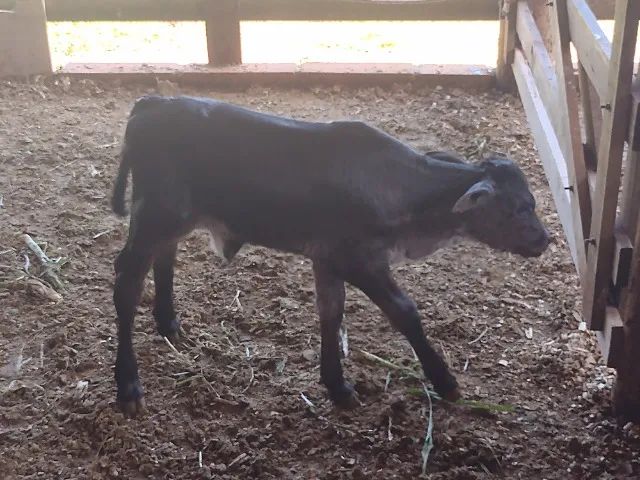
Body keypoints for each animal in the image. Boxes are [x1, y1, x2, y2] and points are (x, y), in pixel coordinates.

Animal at [110, 95, 550, 416]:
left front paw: (337, 386)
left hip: (169, 221)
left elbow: (331, 314)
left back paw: (168, 322)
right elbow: (405, 312)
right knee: (127, 284)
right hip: (153, 218)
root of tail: (154, 102)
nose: (544, 240)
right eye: (519, 207)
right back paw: (128, 386)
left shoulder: (328, 259)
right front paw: (445, 382)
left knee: (164, 259)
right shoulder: (360, 261)